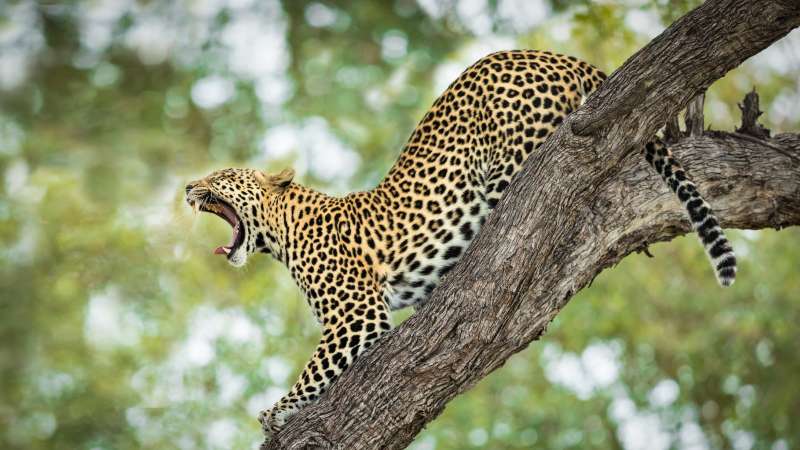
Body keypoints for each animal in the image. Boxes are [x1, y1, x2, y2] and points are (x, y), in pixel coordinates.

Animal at [184, 50, 736, 438]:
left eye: (222, 176)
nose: (188, 187)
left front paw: (276, 412)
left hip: (516, 161)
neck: (284, 230)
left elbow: (313, 372)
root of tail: (556, 56)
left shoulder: (355, 316)